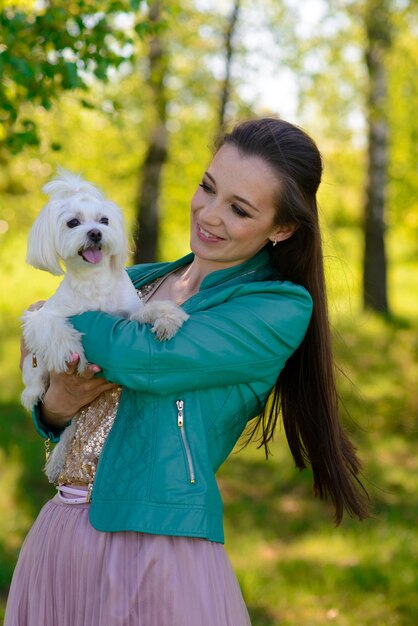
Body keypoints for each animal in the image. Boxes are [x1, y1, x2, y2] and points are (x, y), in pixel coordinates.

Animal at [21, 168, 188, 480]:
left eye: (104, 220)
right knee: (36, 385)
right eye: (73, 222)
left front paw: (167, 318)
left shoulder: (127, 314)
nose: (95, 233)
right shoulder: (42, 316)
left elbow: (147, 312)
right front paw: (70, 351)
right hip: (34, 367)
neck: (94, 279)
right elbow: (55, 330)